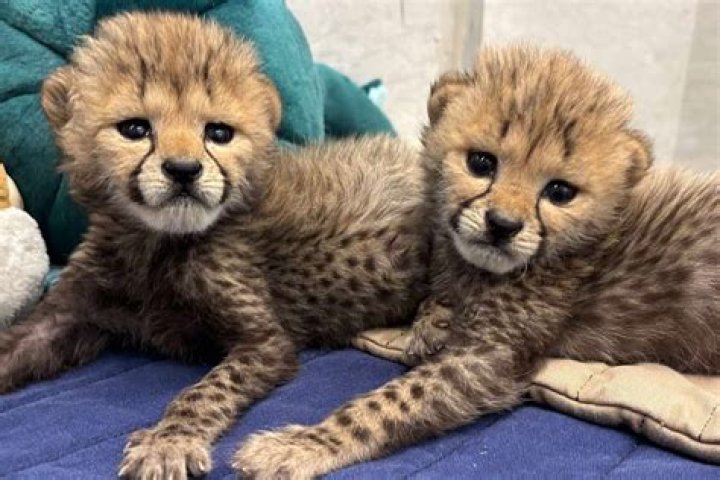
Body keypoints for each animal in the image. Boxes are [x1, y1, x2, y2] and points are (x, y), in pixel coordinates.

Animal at [0, 12, 434, 479]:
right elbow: (15, 342)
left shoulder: (265, 341)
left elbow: (207, 390)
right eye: (134, 128)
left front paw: (168, 442)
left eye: (218, 133)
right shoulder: (66, 314)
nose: (183, 169)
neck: (156, 244)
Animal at [234, 45, 719, 479]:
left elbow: (386, 404)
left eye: (560, 192)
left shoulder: (486, 359)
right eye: (481, 163)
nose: (502, 225)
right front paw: (431, 323)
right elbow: (438, 298)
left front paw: (301, 445)